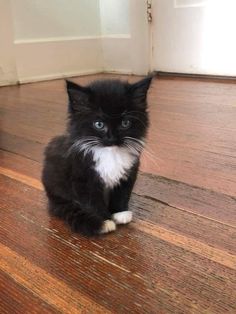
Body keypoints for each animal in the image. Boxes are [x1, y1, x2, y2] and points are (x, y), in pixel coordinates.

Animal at [41, 76, 152, 236]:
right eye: (99, 124)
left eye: (125, 123)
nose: (112, 138)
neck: (110, 153)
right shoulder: (82, 178)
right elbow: (92, 202)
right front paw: (104, 220)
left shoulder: (129, 172)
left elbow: (122, 194)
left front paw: (120, 213)